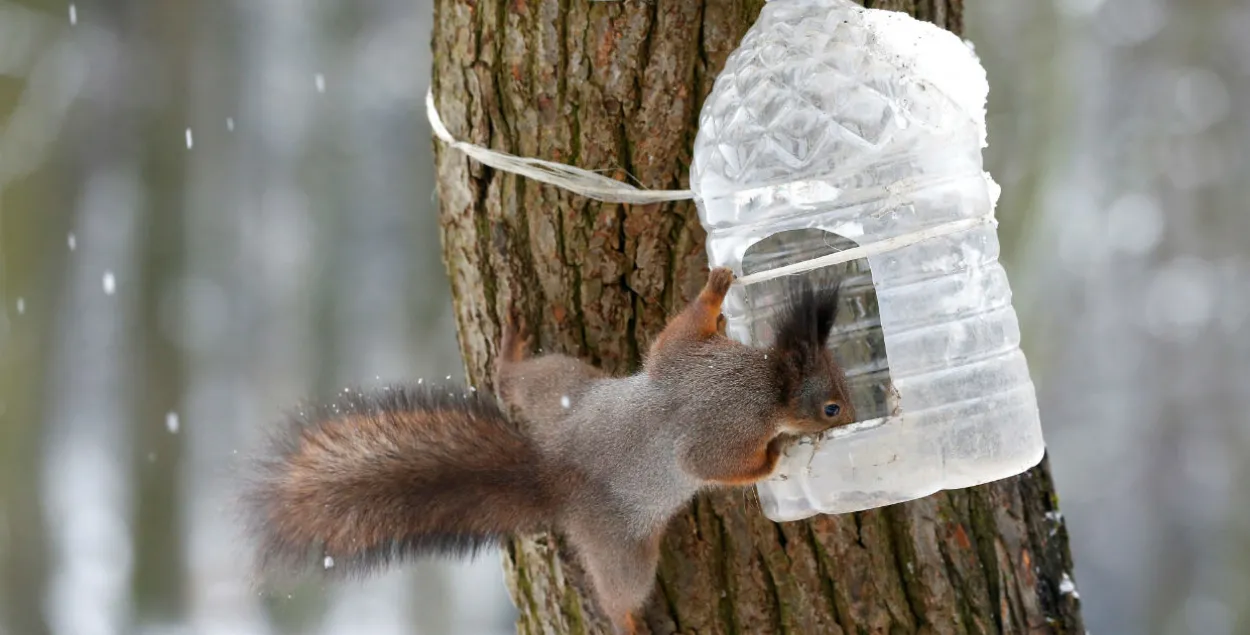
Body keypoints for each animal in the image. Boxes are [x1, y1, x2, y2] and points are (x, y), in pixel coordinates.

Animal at [238, 265, 855, 632]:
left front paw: (717, 291)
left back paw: (509, 350)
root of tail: (557, 475)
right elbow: (712, 465)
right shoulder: (722, 429)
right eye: (832, 406)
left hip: (561, 387)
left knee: (514, 381)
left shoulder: (683, 358)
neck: (765, 381)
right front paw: (774, 458)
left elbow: (672, 336)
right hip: (621, 548)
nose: (852, 416)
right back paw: (627, 624)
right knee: (618, 593)